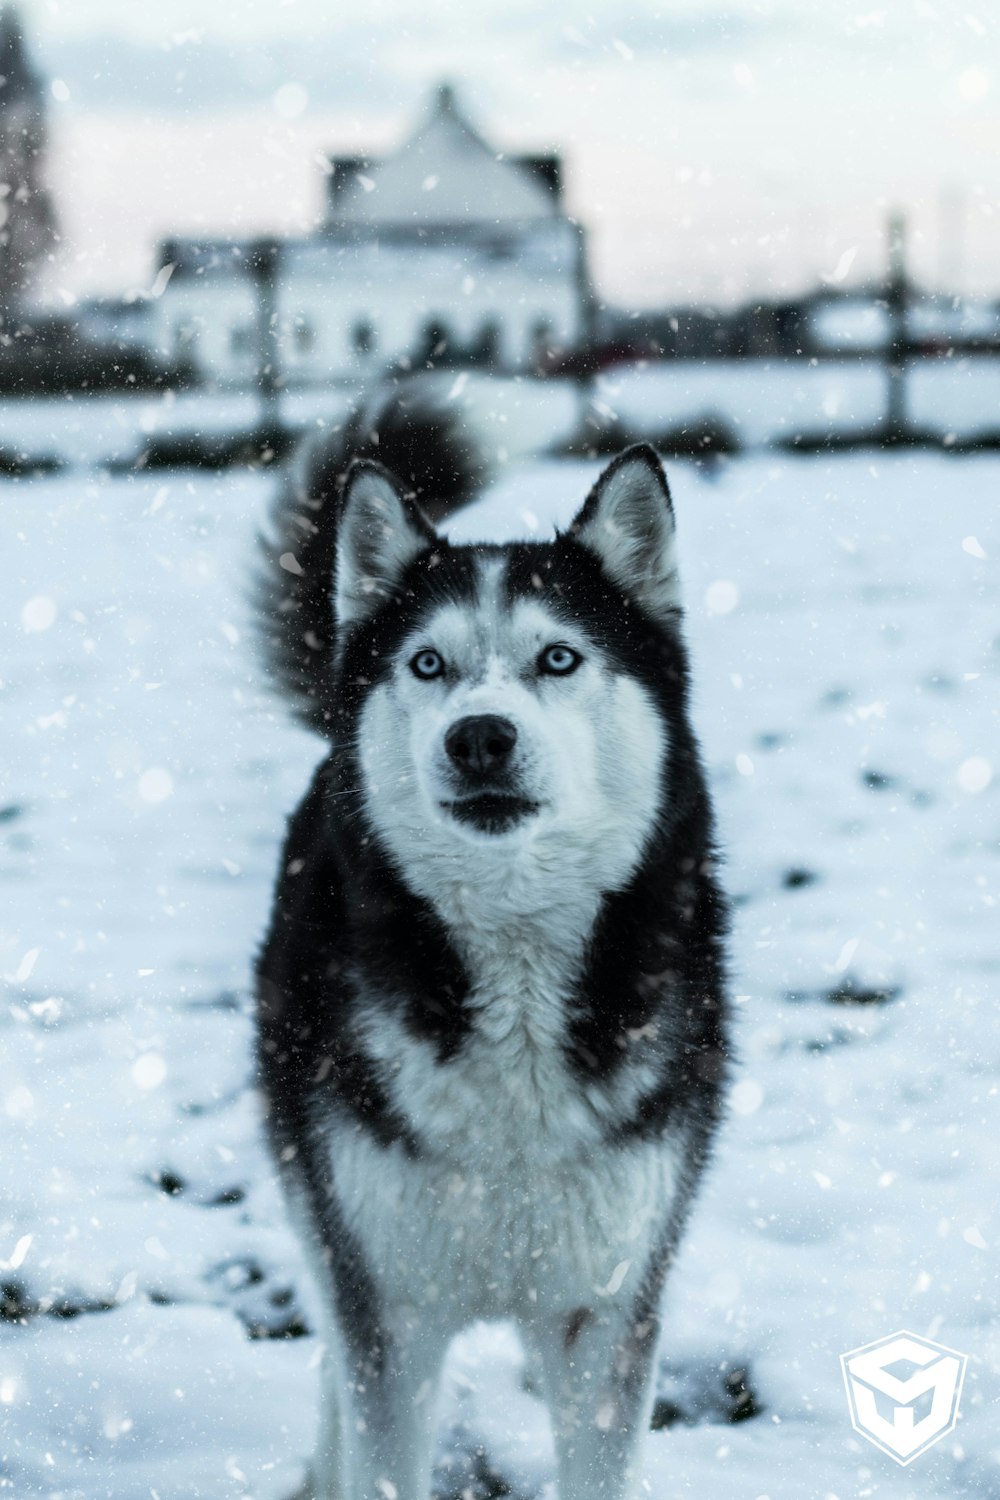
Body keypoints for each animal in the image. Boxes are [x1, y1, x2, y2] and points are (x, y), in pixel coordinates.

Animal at [254, 396, 731, 1500]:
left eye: (558, 658)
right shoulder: (387, 1307)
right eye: (427, 664)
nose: (478, 736)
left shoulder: (610, 1310)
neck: (511, 961)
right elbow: (377, 1441)